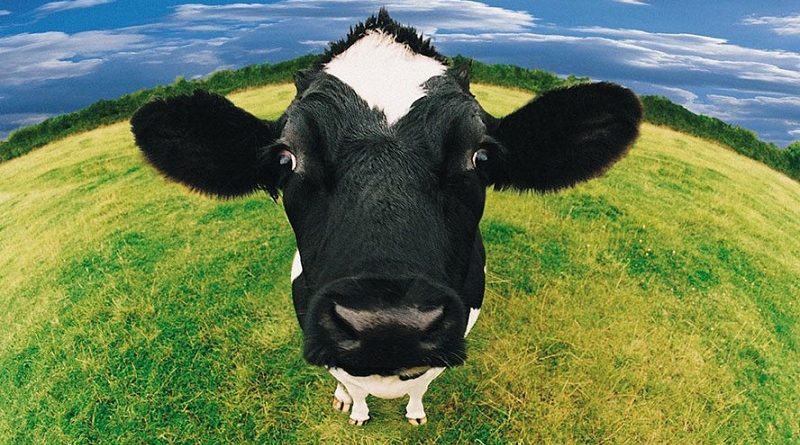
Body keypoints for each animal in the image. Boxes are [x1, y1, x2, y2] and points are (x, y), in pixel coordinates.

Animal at [130, 9, 641, 426]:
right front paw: (355, 409)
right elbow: (351, 383)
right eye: (286, 159)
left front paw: (414, 412)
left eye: (480, 157)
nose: (387, 325)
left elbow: (422, 383)